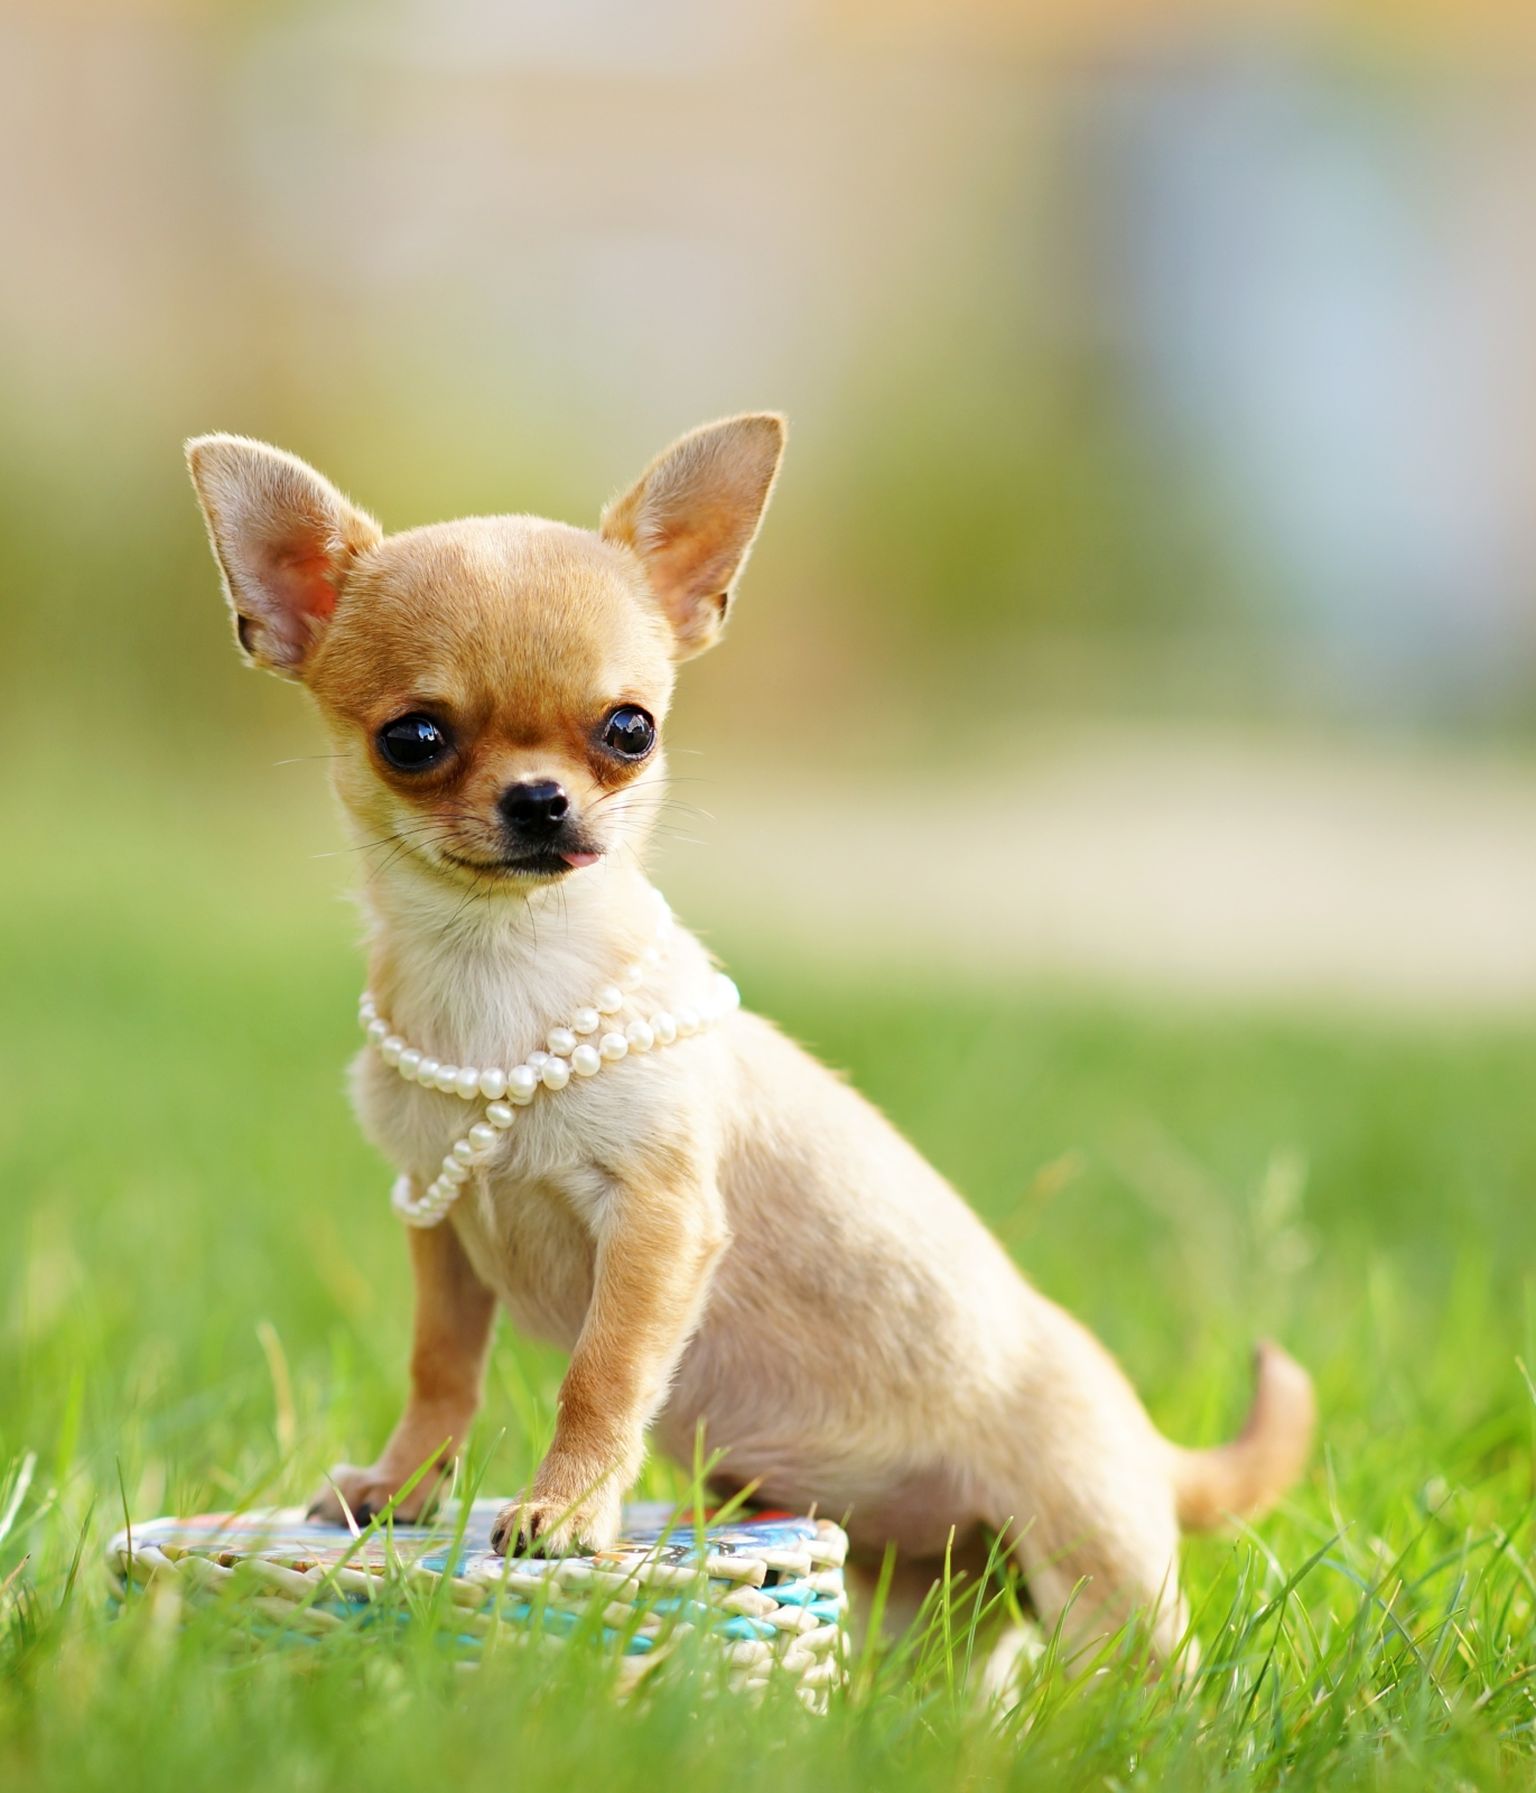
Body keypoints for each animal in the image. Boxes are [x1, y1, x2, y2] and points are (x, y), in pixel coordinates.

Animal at [186, 414, 1314, 1663]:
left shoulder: (656, 1222)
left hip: (1097, 1579)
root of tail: (1146, 1435)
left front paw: (566, 1507)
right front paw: (404, 1485)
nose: (540, 800)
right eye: (414, 737)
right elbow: (441, 1366)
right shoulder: (438, 1220)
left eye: (629, 730)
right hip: (920, 1594)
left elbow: (603, 1373)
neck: (501, 980)